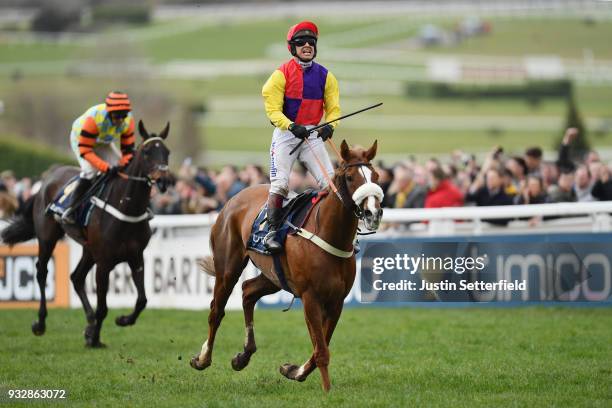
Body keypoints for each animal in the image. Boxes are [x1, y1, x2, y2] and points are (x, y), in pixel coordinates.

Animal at [1, 121, 170, 348]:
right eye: (147, 152)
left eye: (167, 152)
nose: (164, 180)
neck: (126, 208)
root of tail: (49, 176)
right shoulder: (104, 263)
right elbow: (103, 307)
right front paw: (95, 338)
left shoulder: (136, 257)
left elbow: (142, 300)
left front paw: (120, 320)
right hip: (47, 237)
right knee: (42, 272)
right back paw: (41, 322)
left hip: (89, 249)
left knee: (76, 277)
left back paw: (89, 322)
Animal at [190, 140, 382, 392]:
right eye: (350, 177)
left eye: (376, 176)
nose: (373, 213)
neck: (330, 234)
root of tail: (233, 198)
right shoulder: (310, 297)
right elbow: (321, 350)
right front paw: (327, 390)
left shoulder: (336, 301)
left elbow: (321, 345)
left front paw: (293, 370)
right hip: (228, 269)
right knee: (216, 310)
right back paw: (203, 358)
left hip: (273, 277)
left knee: (248, 292)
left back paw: (244, 355)